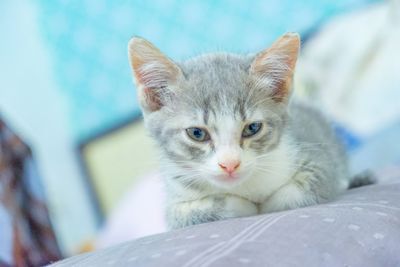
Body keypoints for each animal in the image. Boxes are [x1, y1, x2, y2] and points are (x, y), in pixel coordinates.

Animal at [128, 33, 350, 230]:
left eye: (252, 128)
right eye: (197, 133)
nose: (230, 165)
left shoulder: (318, 159)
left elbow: (297, 193)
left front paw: (264, 205)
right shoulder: (175, 202)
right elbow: (197, 210)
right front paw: (244, 206)